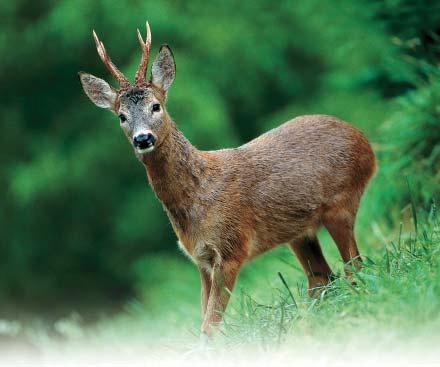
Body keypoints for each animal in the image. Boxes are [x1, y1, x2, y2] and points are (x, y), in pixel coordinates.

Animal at [78, 21, 374, 338]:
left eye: (156, 106)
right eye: (121, 116)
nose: (143, 138)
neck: (197, 197)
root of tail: (364, 142)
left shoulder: (232, 248)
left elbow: (209, 327)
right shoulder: (201, 259)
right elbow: (203, 320)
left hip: (341, 202)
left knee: (355, 266)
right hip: (299, 231)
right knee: (322, 278)